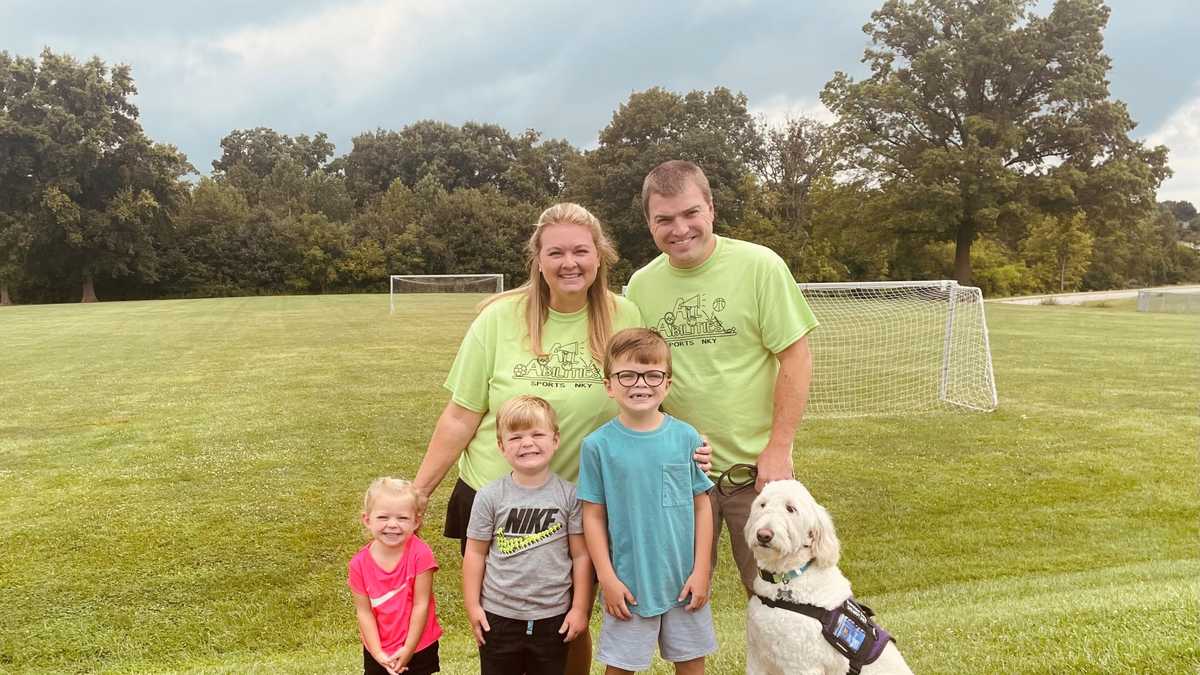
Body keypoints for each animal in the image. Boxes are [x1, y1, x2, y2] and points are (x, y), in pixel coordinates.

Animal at [739, 478, 907, 672]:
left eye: (791, 509)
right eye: (762, 504)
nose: (763, 535)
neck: (786, 578)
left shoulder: (801, 664)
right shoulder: (757, 657)